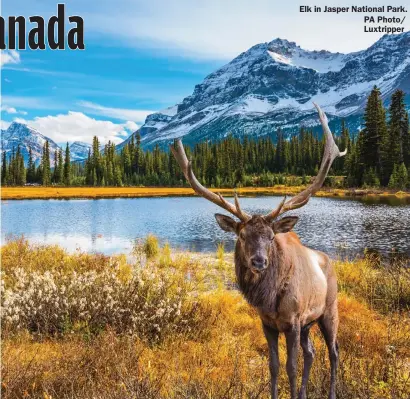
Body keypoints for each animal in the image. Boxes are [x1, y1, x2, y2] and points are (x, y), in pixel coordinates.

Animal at [170, 104, 346, 399]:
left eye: (271, 236)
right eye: (242, 235)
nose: (259, 261)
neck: (270, 298)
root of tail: (328, 262)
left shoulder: (293, 321)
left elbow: (291, 367)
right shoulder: (268, 323)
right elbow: (273, 366)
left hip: (328, 310)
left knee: (333, 352)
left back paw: (332, 392)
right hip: (309, 324)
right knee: (312, 353)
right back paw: (304, 392)